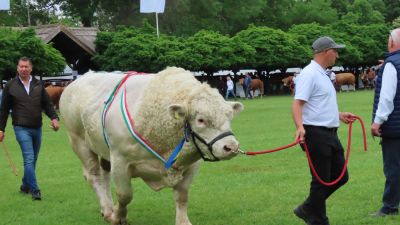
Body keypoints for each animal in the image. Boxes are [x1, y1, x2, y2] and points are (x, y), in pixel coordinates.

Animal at [58, 67, 242, 225]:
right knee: (94, 176)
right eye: (201, 120)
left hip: (103, 150)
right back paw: (108, 209)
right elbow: (125, 195)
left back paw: (107, 208)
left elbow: (182, 195)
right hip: (79, 142)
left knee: (104, 176)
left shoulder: (191, 165)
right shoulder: (120, 160)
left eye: (229, 115)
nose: (231, 147)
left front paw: (183, 221)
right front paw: (118, 217)